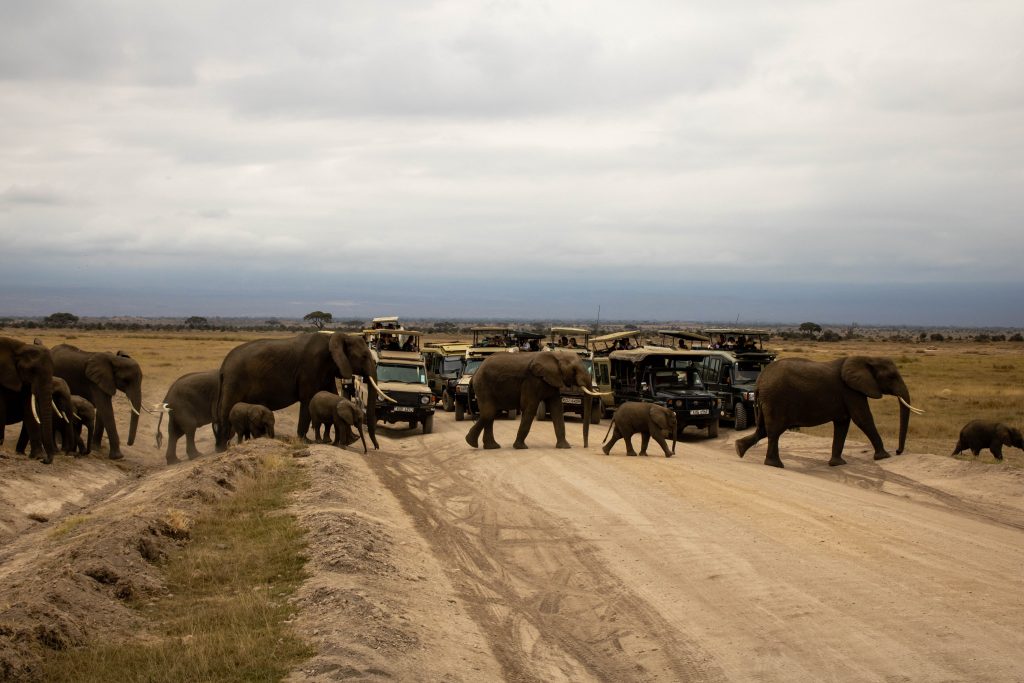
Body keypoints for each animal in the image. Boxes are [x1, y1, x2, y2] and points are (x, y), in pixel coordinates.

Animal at [215, 332, 387, 452]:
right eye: (364, 356)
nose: (375, 448)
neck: (335, 337)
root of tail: (223, 366)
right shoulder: (311, 367)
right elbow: (308, 398)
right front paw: (306, 441)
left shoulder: (329, 370)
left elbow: (333, 395)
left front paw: (349, 440)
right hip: (234, 381)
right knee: (225, 411)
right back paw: (221, 449)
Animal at [465, 349, 606, 450]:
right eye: (574, 370)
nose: (585, 446)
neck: (556, 355)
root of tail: (475, 373)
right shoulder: (532, 380)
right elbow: (530, 407)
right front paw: (520, 447)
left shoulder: (552, 379)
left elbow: (557, 409)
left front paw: (565, 447)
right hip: (483, 385)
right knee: (488, 413)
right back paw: (471, 443)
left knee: (490, 413)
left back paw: (491, 447)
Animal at [735, 356, 923, 468]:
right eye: (891, 377)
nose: (898, 451)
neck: (866, 359)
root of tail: (759, 382)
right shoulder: (851, 391)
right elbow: (863, 419)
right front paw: (884, 457)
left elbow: (842, 424)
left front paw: (837, 464)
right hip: (776, 399)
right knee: (774, 430)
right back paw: (775, 465)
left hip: (767, 402)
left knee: (763, 429)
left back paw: (739, 449)